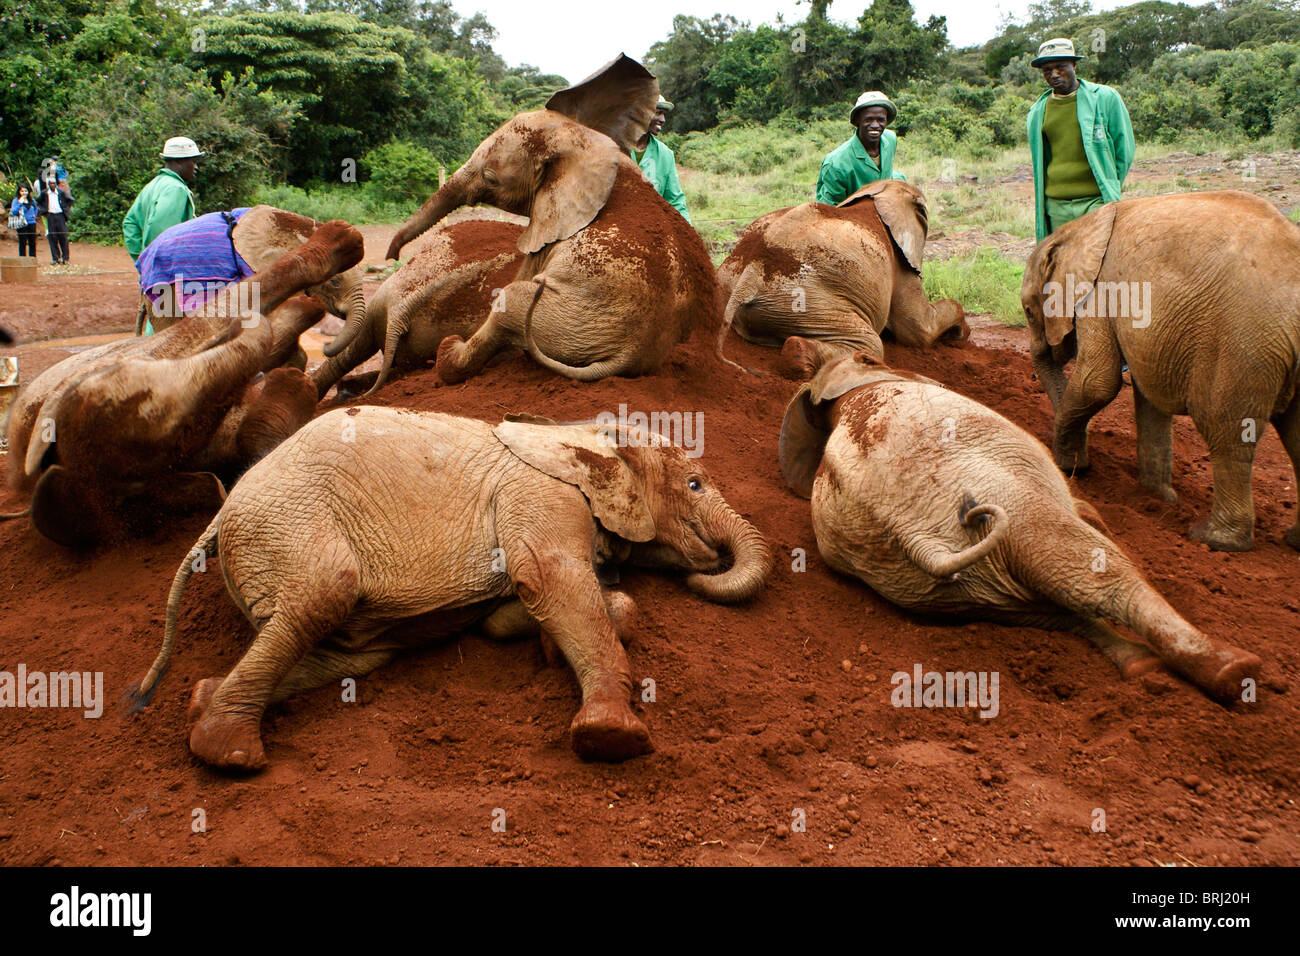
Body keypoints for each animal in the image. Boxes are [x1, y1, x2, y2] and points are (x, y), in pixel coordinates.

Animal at [126, 408, 764, 775]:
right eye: (694, 484)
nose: (707, 568)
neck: (582, 435)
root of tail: (217, 517)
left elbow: (514, 612)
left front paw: (550, 646)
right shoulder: (539, 492)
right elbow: (550, 578)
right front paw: (611, 737)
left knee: (348, 652)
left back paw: (203, 699)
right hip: (287, 525)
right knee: (323, 595)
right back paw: (229, 754)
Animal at [780, 351, 1258, 702]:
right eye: (871, 358)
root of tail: (914, 537)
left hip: (938, 589)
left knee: (1056, 605)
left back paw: (1144, 666)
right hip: (1005, 500)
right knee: (1096, 570)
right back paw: (1235, 671)